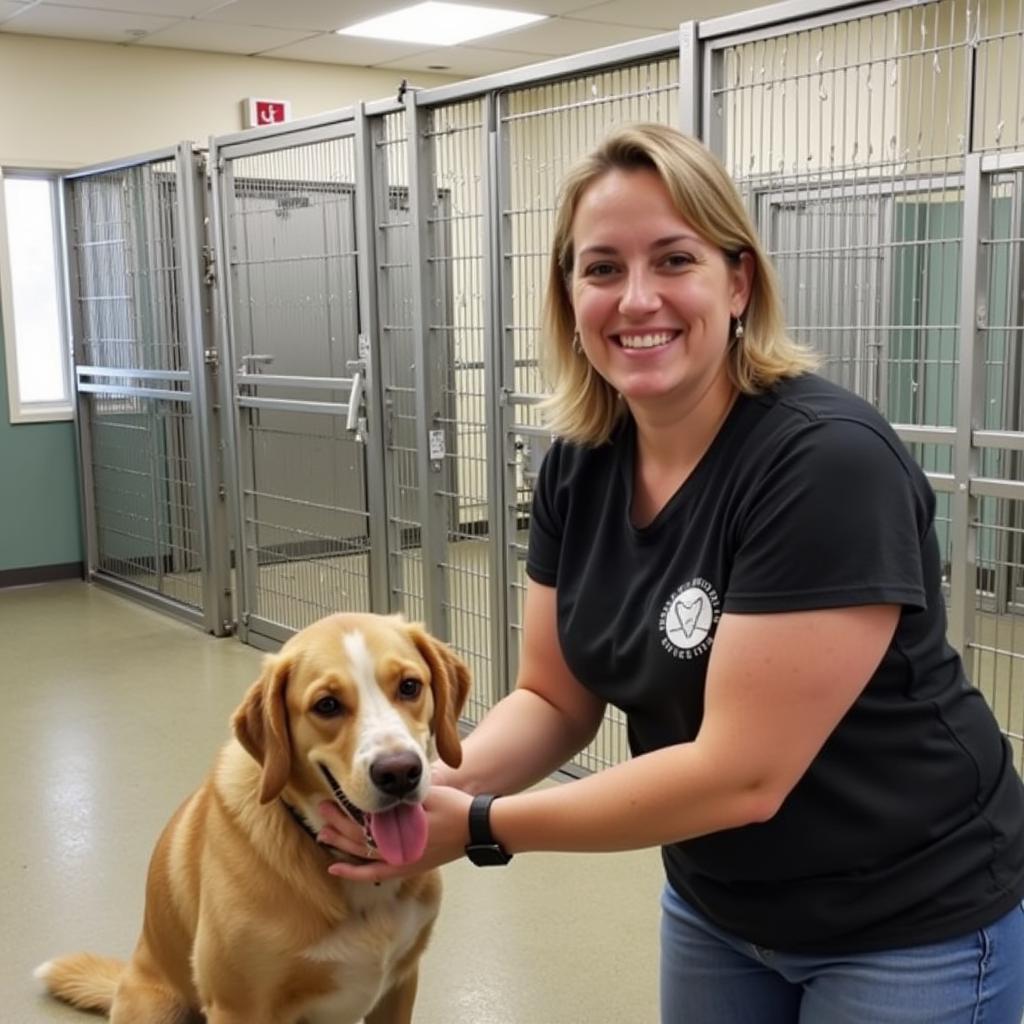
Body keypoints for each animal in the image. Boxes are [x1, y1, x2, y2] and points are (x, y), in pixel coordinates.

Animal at [35, 610, 475, 1019]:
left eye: (409, 686)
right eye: (327, 705)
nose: (399, 772)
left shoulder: (399, 985)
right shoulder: (239, 1008)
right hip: (156, 1006)